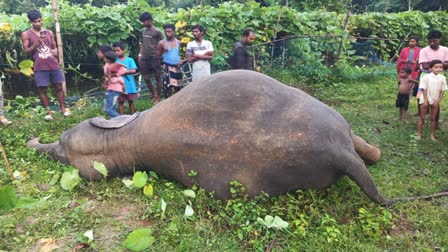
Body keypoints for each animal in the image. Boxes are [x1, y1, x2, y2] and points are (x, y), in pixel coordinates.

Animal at [27, 70, 444, 204]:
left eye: (61, 144)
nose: (35, 144)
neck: (121, 141)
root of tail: (338, 152)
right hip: (330, 134)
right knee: (366, 151)